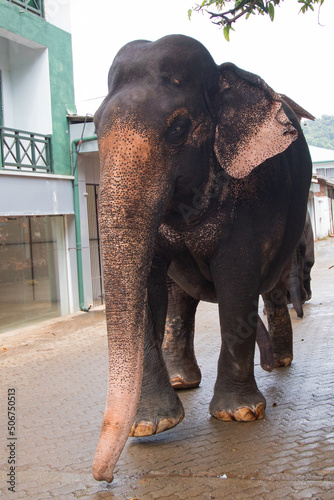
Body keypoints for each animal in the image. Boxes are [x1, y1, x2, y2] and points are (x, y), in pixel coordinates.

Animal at [92, 34, 314, 480]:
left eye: (178, 128)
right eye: (93, 125)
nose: (103, 476)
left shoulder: (253, 195)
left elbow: (237, 280)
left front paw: (240, 414)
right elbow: (148, 286)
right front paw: (151, 424)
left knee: (272, 287)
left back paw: (281, 362)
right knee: (181, 301)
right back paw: (184, 381)